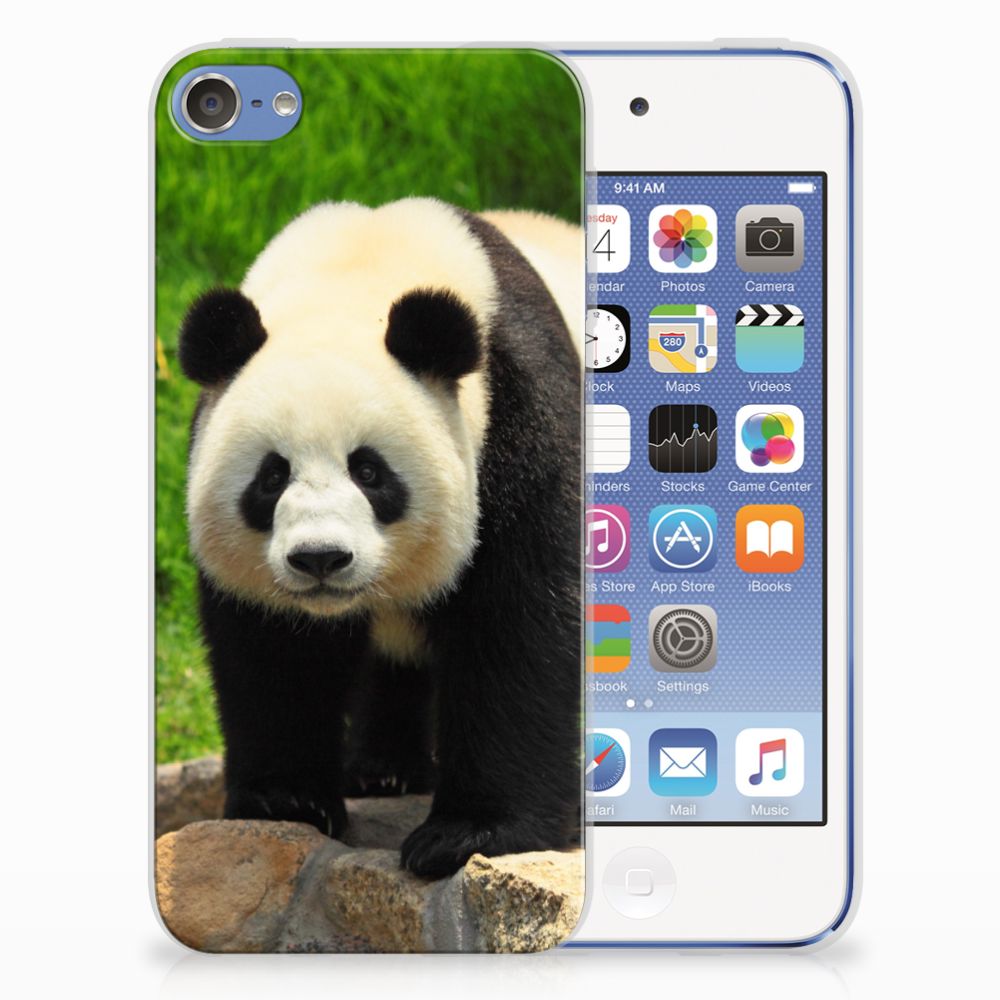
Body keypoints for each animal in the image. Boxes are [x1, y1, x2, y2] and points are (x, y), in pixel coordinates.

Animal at [178, 197, 582, 878]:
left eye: (368, 471)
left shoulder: (521, 420)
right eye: (271, 476)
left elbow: (518, 624)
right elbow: (272, 650)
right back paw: (384, 770)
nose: (320, 558)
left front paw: (469, 833)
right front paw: (287, 800)